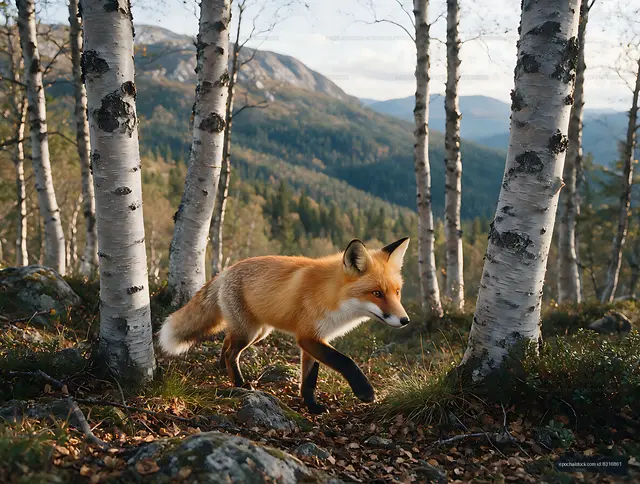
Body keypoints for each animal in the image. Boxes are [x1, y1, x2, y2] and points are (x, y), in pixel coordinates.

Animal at [158, 237, 411, 414]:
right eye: (377, 293)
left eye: (397, 292)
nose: (405, 320)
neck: (332, 297)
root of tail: (226, 270)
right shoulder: (307, 337)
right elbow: (346, 361)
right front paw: (365, 391)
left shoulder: (316, 340)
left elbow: (309, 380)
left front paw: (312, 407)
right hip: (250, 332)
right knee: (232, 352)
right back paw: (240, 383)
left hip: (258, 332)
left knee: (227, 341)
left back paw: (223, 369)